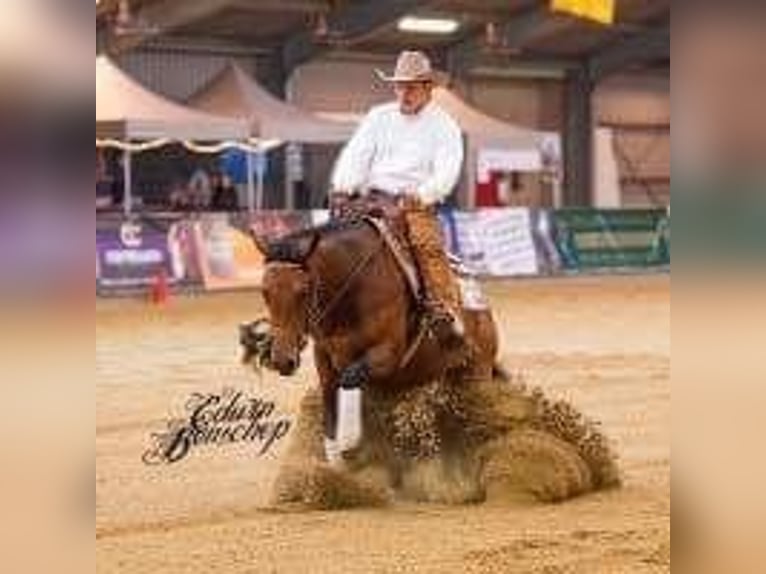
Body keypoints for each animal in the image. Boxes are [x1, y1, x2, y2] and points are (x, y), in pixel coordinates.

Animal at [246, 214, 498, 466]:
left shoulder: (388, 355)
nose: (282, 360)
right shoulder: (324, 359)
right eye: (264, 291)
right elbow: (330, 415)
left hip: (477, 375)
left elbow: (350, 379)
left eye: (303, 291)